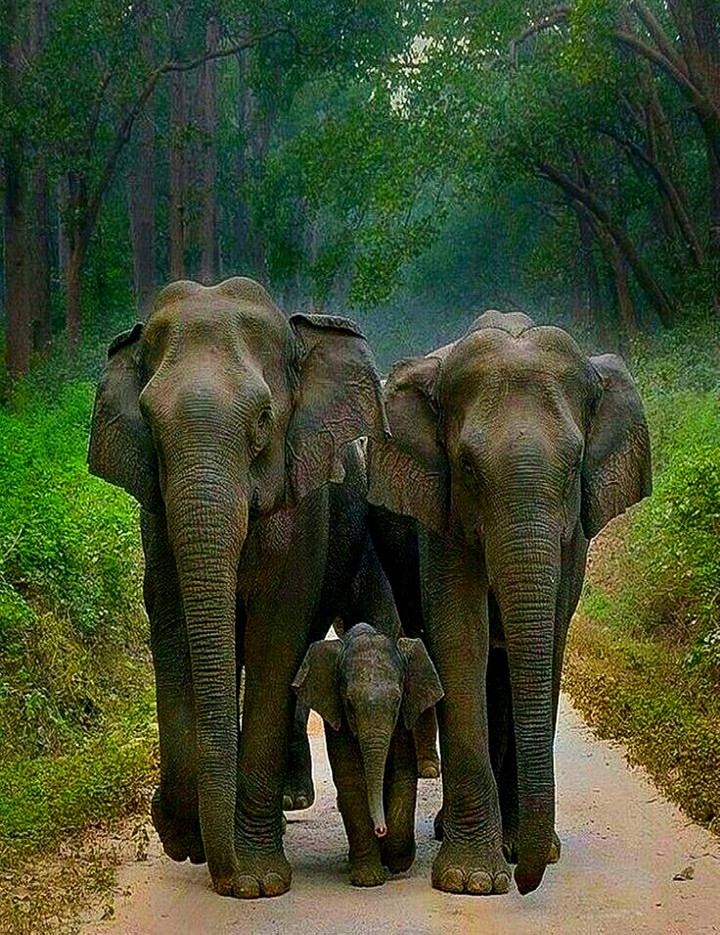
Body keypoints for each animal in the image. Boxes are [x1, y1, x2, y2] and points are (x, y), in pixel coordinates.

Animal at [87, 277, 389, 899]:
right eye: (149, 424)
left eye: (264, 417)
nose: (224, 872)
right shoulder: (156, 518)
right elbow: (174, 628)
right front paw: (183, 836)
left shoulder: (305, 506)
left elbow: (277, 638)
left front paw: (258, 882)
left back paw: (290, 799)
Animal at [293, 623, 443, 886]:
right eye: (350, 704)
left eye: (397, 701)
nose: (380, 829)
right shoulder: (338, 721)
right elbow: (352, 781)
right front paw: (368, 880)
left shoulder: (403, 720)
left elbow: (402, 774)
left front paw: (397, 861)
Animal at [367, 310, 652, 896]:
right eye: (468, 467)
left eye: (574, 464)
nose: (526, 884)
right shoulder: (443, 513)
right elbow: (460, 637)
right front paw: (473, 880)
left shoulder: (574, 532)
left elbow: (552, 638)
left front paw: (528, 851)